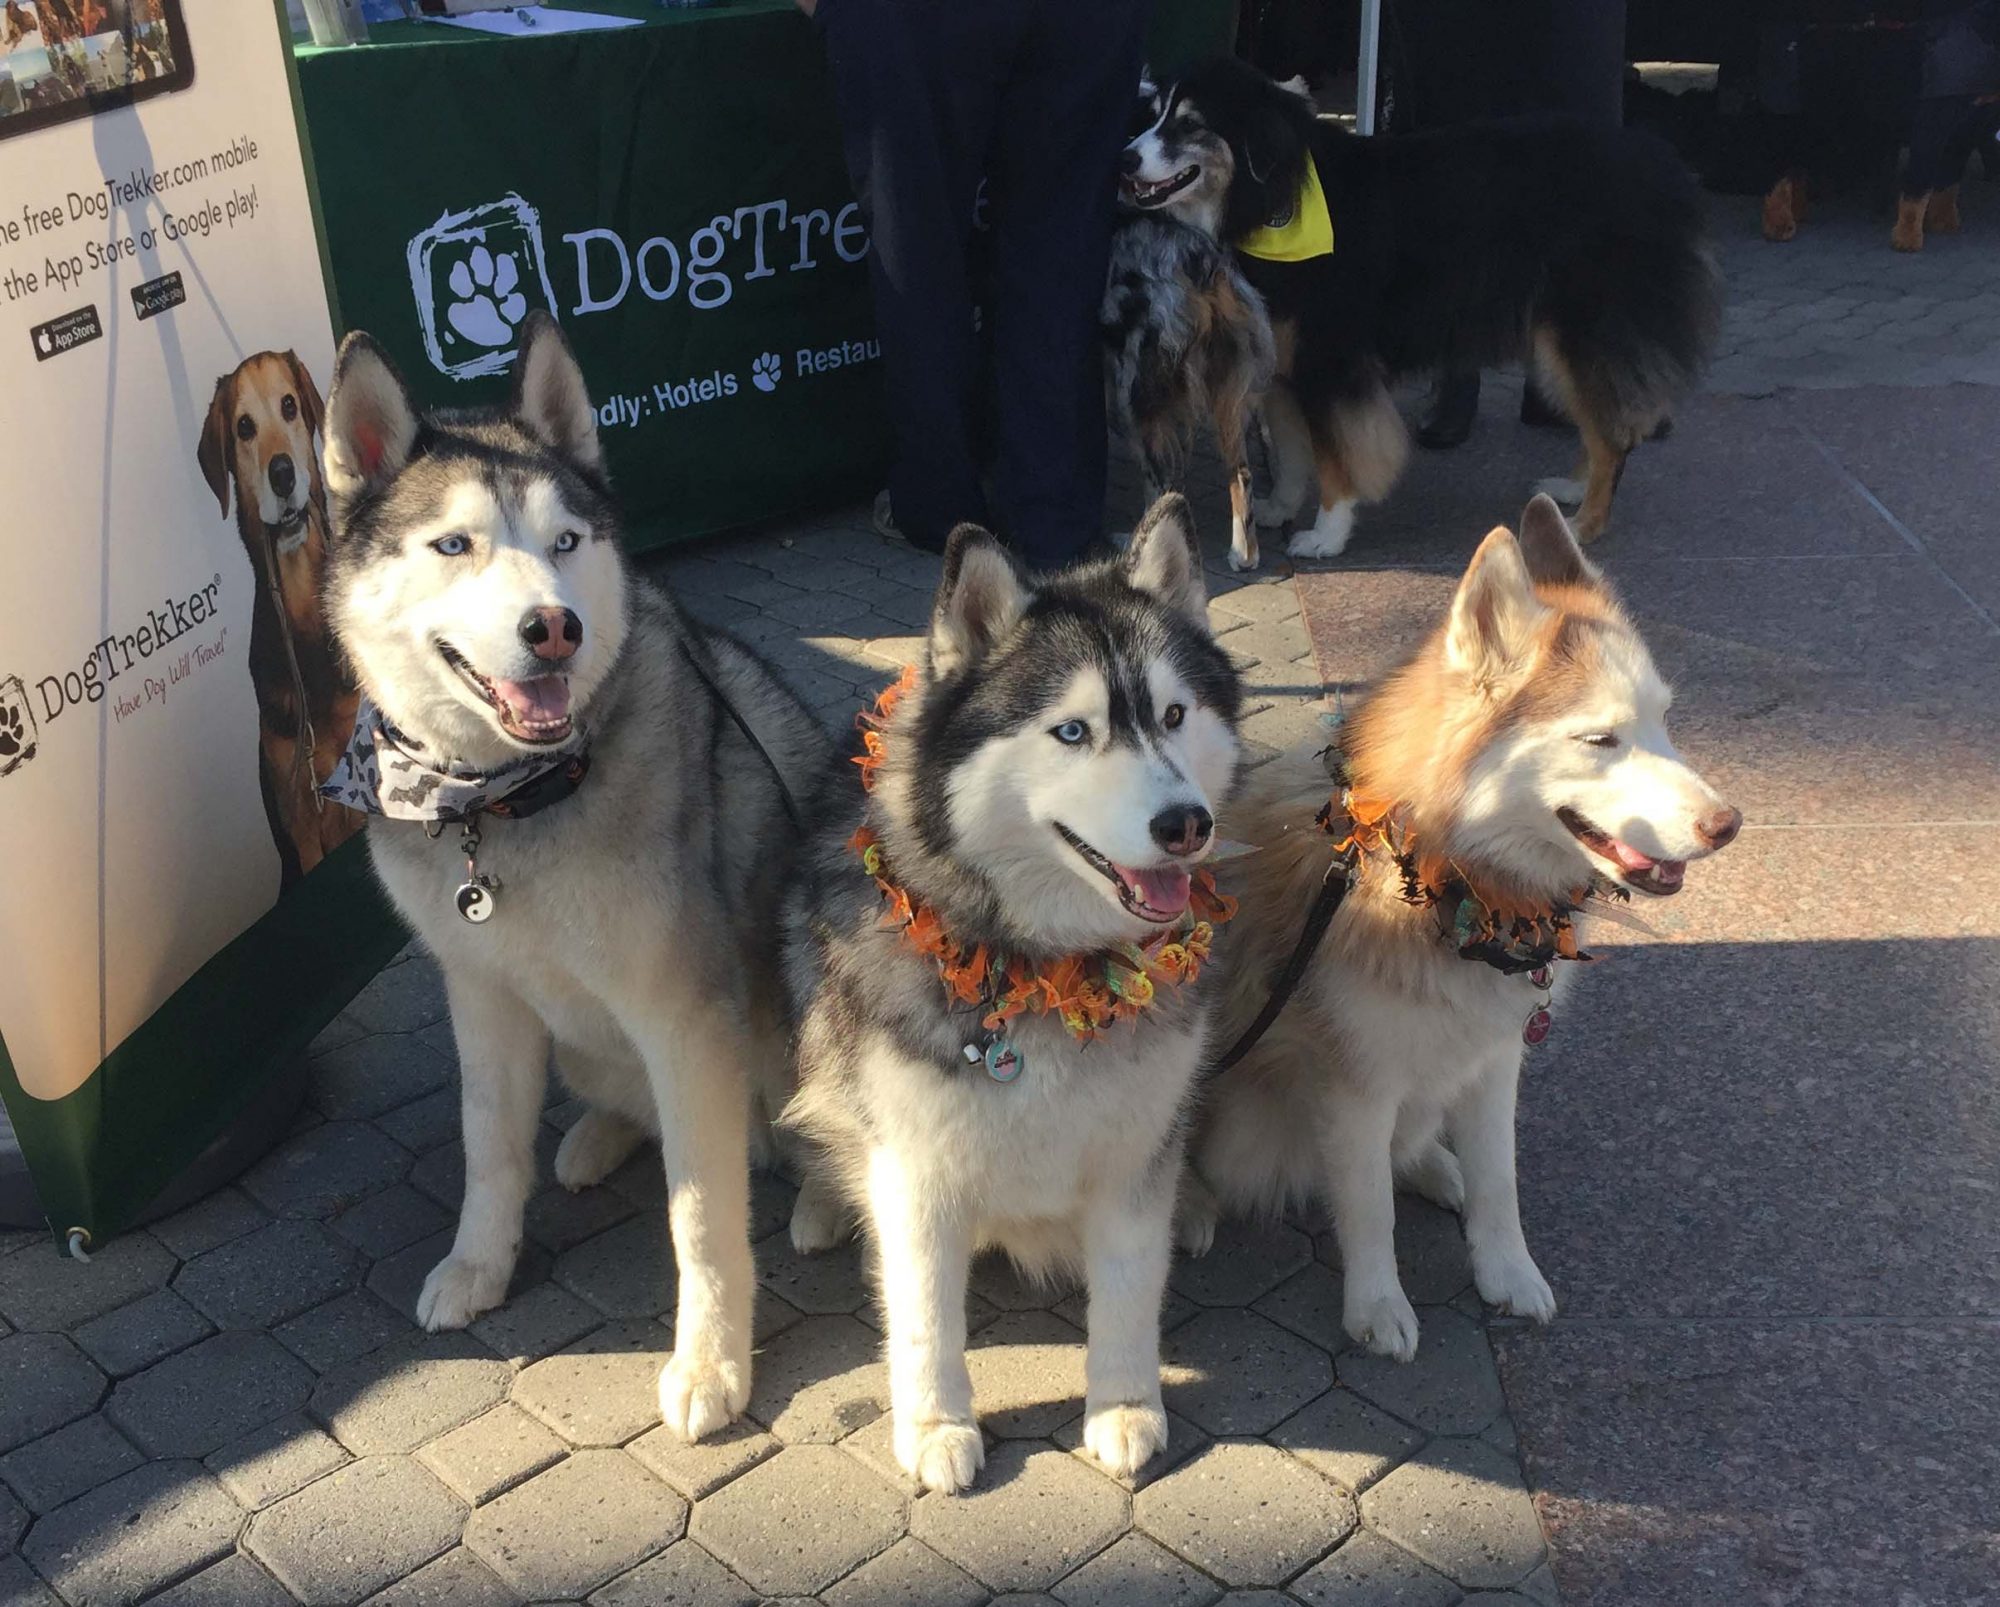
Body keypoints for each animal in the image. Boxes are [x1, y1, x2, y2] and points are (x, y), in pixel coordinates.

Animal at [1128, 59, 1720, 559]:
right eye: (1153, 112)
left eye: (1190, 125)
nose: (1127, 157)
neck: (1270, 194)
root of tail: (1664, 170)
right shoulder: (1281, 358)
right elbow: (1293, 451)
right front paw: (1276, 507)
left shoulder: (1330, 362)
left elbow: (1335, 456)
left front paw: (1326, 535)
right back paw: (1571, 489)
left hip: (1580, 331)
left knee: (1613, 436)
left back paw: (1584, 526)